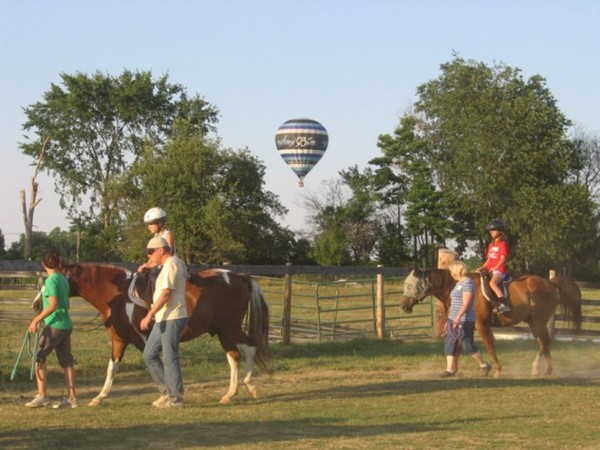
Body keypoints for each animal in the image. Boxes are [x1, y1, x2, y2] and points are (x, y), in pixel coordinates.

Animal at [65, 262, 270, 406]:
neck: (120, 296)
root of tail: (239, 277)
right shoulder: (119, 340)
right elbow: (112, 369)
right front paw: (99, 397)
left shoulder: (144, 340)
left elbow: (157, 366)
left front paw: (165, 397)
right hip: (223, 332)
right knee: (234, 356)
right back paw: (229, 394)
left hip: (230, 327)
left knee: (250, 347)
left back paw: (250, 385)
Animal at [398, 268, 580, 378]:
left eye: (410, 285)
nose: (403, 306)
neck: (458, 287)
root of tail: (550, 282)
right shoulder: (463, 325)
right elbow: (458, 348)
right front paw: (452, 370)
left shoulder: (481, 325)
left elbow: (489, 346)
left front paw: (496, 370)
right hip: (533, 322)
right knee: (544, 343)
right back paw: (547, 370)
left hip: (538, 321)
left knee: (543, 342)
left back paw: (536, 368)